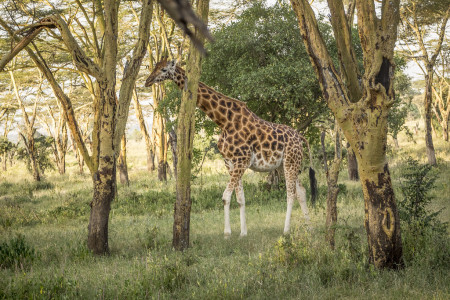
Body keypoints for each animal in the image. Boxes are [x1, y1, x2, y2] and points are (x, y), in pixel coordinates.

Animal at [145, 58, 316, 237]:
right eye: (154, 67)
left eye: (164, 70)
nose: (147, 81)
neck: (224, 121)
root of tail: (300, 137)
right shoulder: (230, 162)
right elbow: (240, 199)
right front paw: (243, 233)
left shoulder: (242, 160)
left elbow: (226, 196)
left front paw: (227, 233)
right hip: (286, 164)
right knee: (302, 192)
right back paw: (310, 227)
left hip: (290, 162)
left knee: (291, 194)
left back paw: (286, 230)